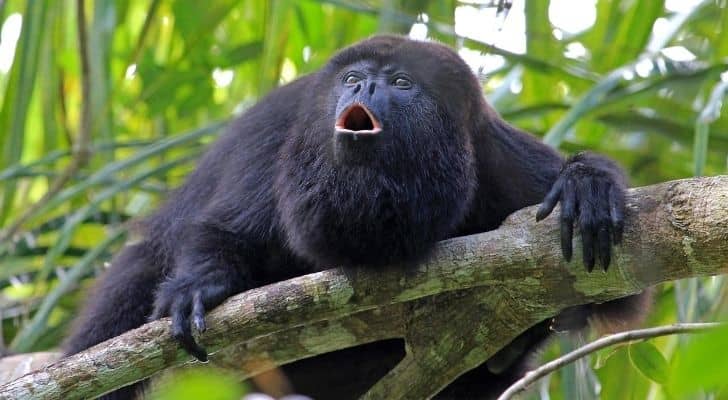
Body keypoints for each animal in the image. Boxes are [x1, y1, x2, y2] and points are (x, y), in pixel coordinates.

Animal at [65, 35, 648, 400]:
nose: (363, 87)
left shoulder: (496, 156)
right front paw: (197, 286)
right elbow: (226, 230)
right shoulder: (283, 131)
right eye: (351, 77)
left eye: (401, 82)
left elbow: (615, 292)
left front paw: (586, 184)